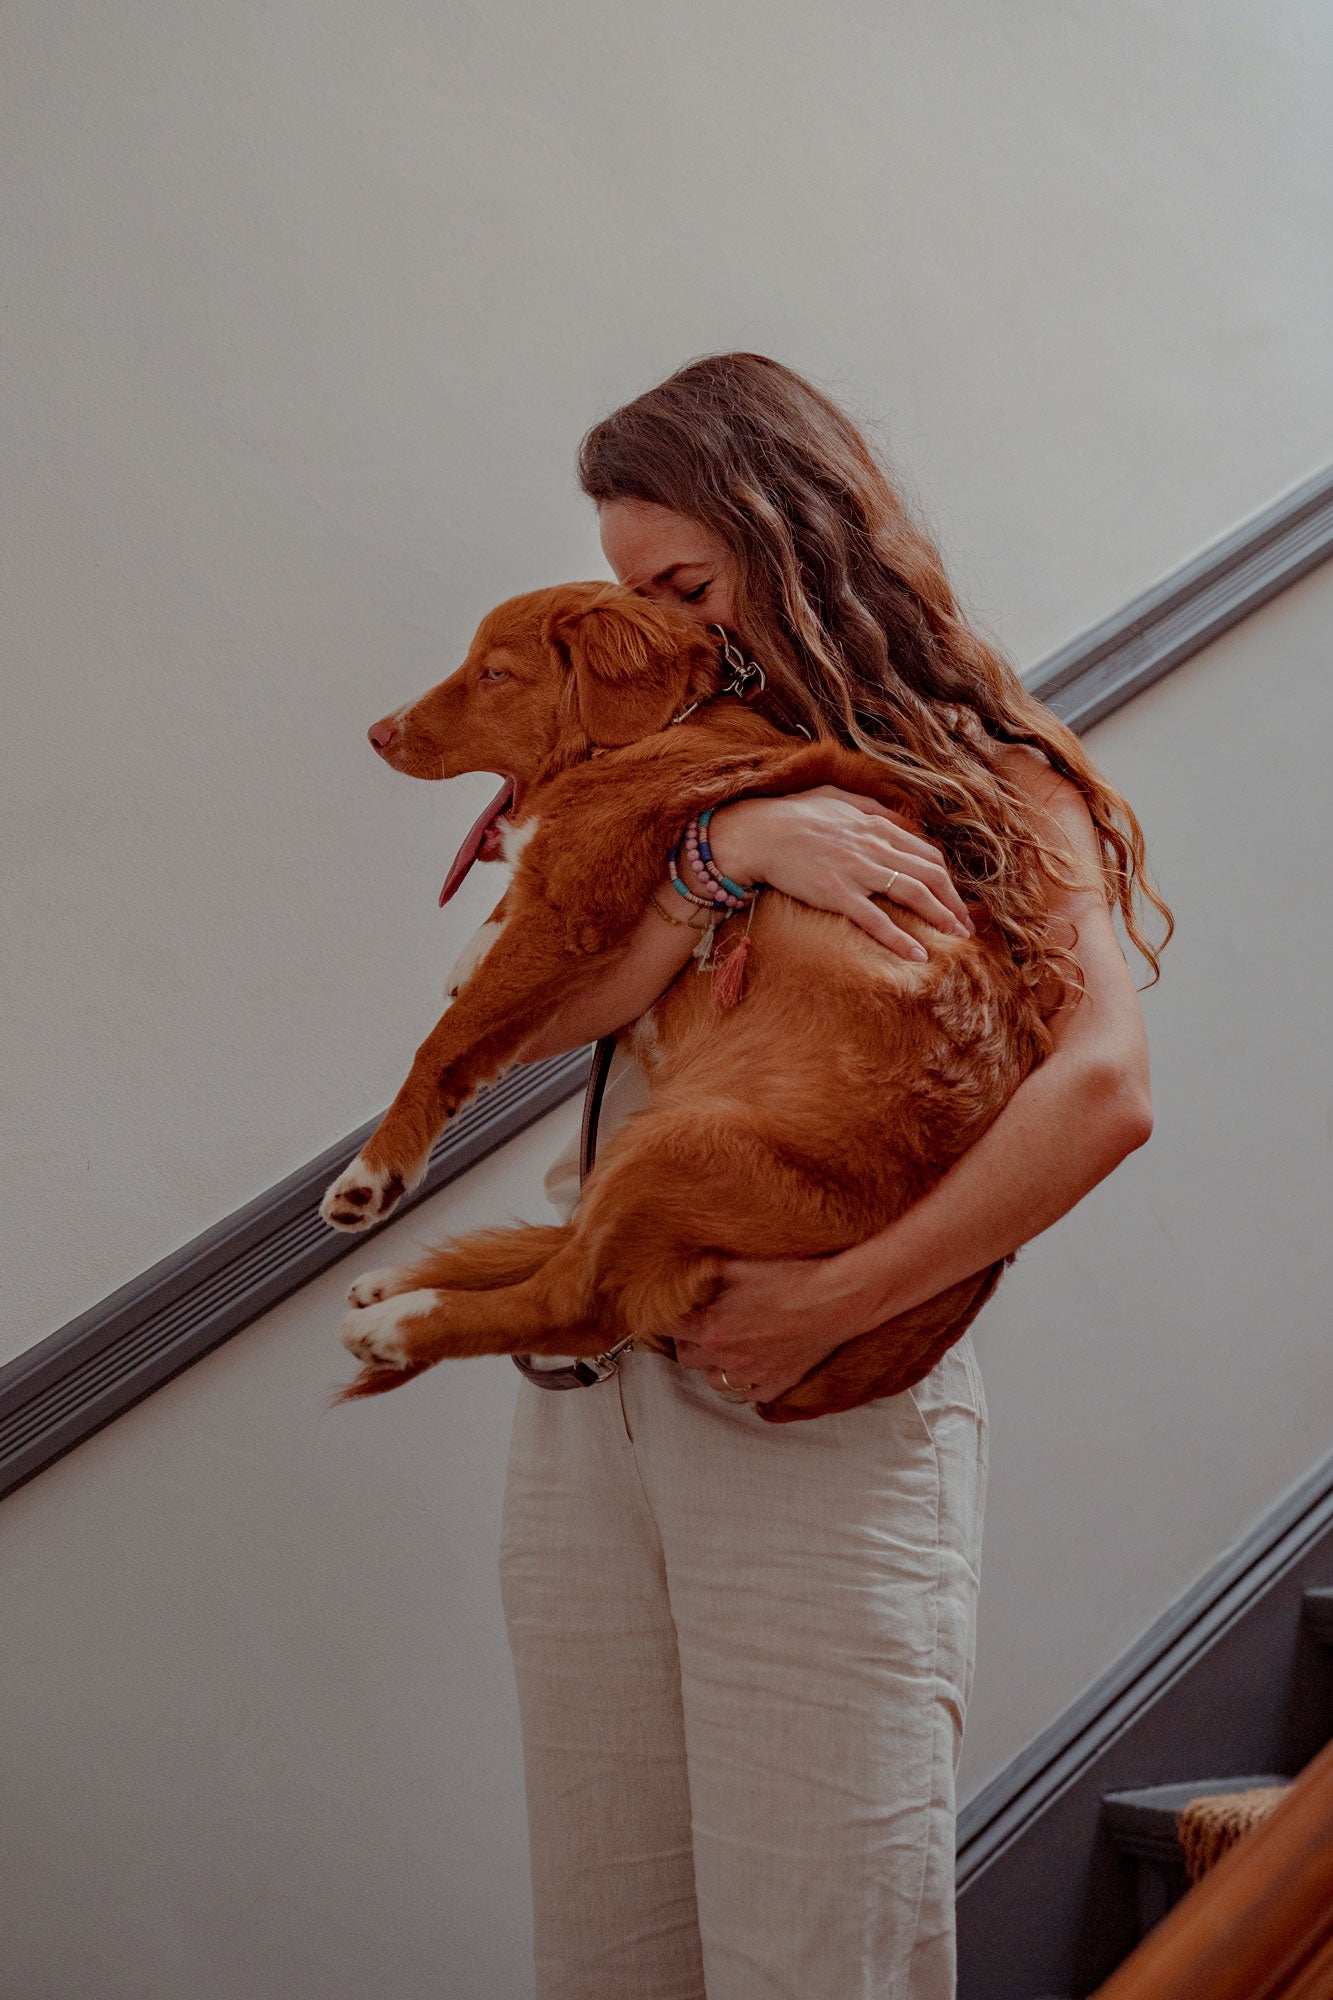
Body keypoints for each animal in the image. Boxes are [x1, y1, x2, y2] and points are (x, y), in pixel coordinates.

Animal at [322, 580, 1048, 1424]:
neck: (658, 731)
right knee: (577, 1252)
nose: (378, 734)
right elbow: (483, 987)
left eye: (494, 672)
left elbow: (442, 1041)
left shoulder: (571, 913)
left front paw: (373, 1175)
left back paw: (400, 1323)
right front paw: (475, 946)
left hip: (685, 1147)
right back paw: (400, 1287)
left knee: (576, 1302)